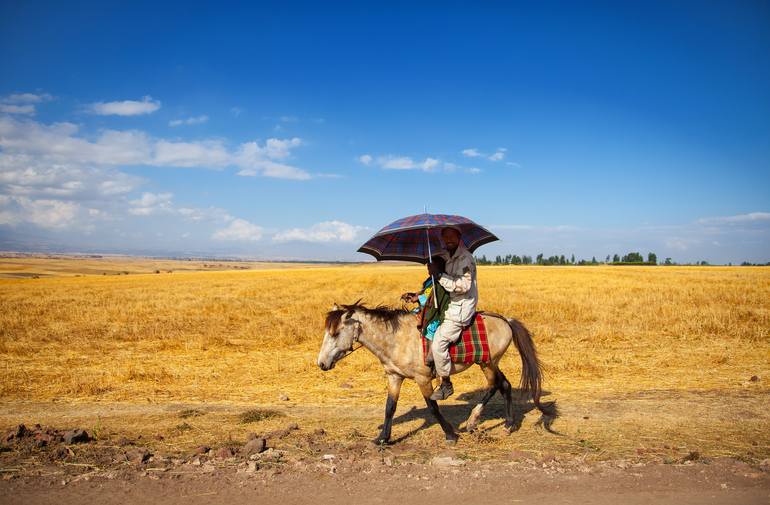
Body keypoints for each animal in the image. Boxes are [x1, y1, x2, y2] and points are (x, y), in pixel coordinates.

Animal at [316, 302, 556, 442]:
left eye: (336, 333)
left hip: (488, 363)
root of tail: (505, 320)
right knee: (504, 385)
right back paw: (503, 424)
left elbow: (432, 406)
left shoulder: (423, 379)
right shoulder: (394, 377)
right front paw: (382, 438)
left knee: (495, 385)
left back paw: (478, 421)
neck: (396, 339)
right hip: (490, 363)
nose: (321, 363)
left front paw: (450, 433)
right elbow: (390, 407)